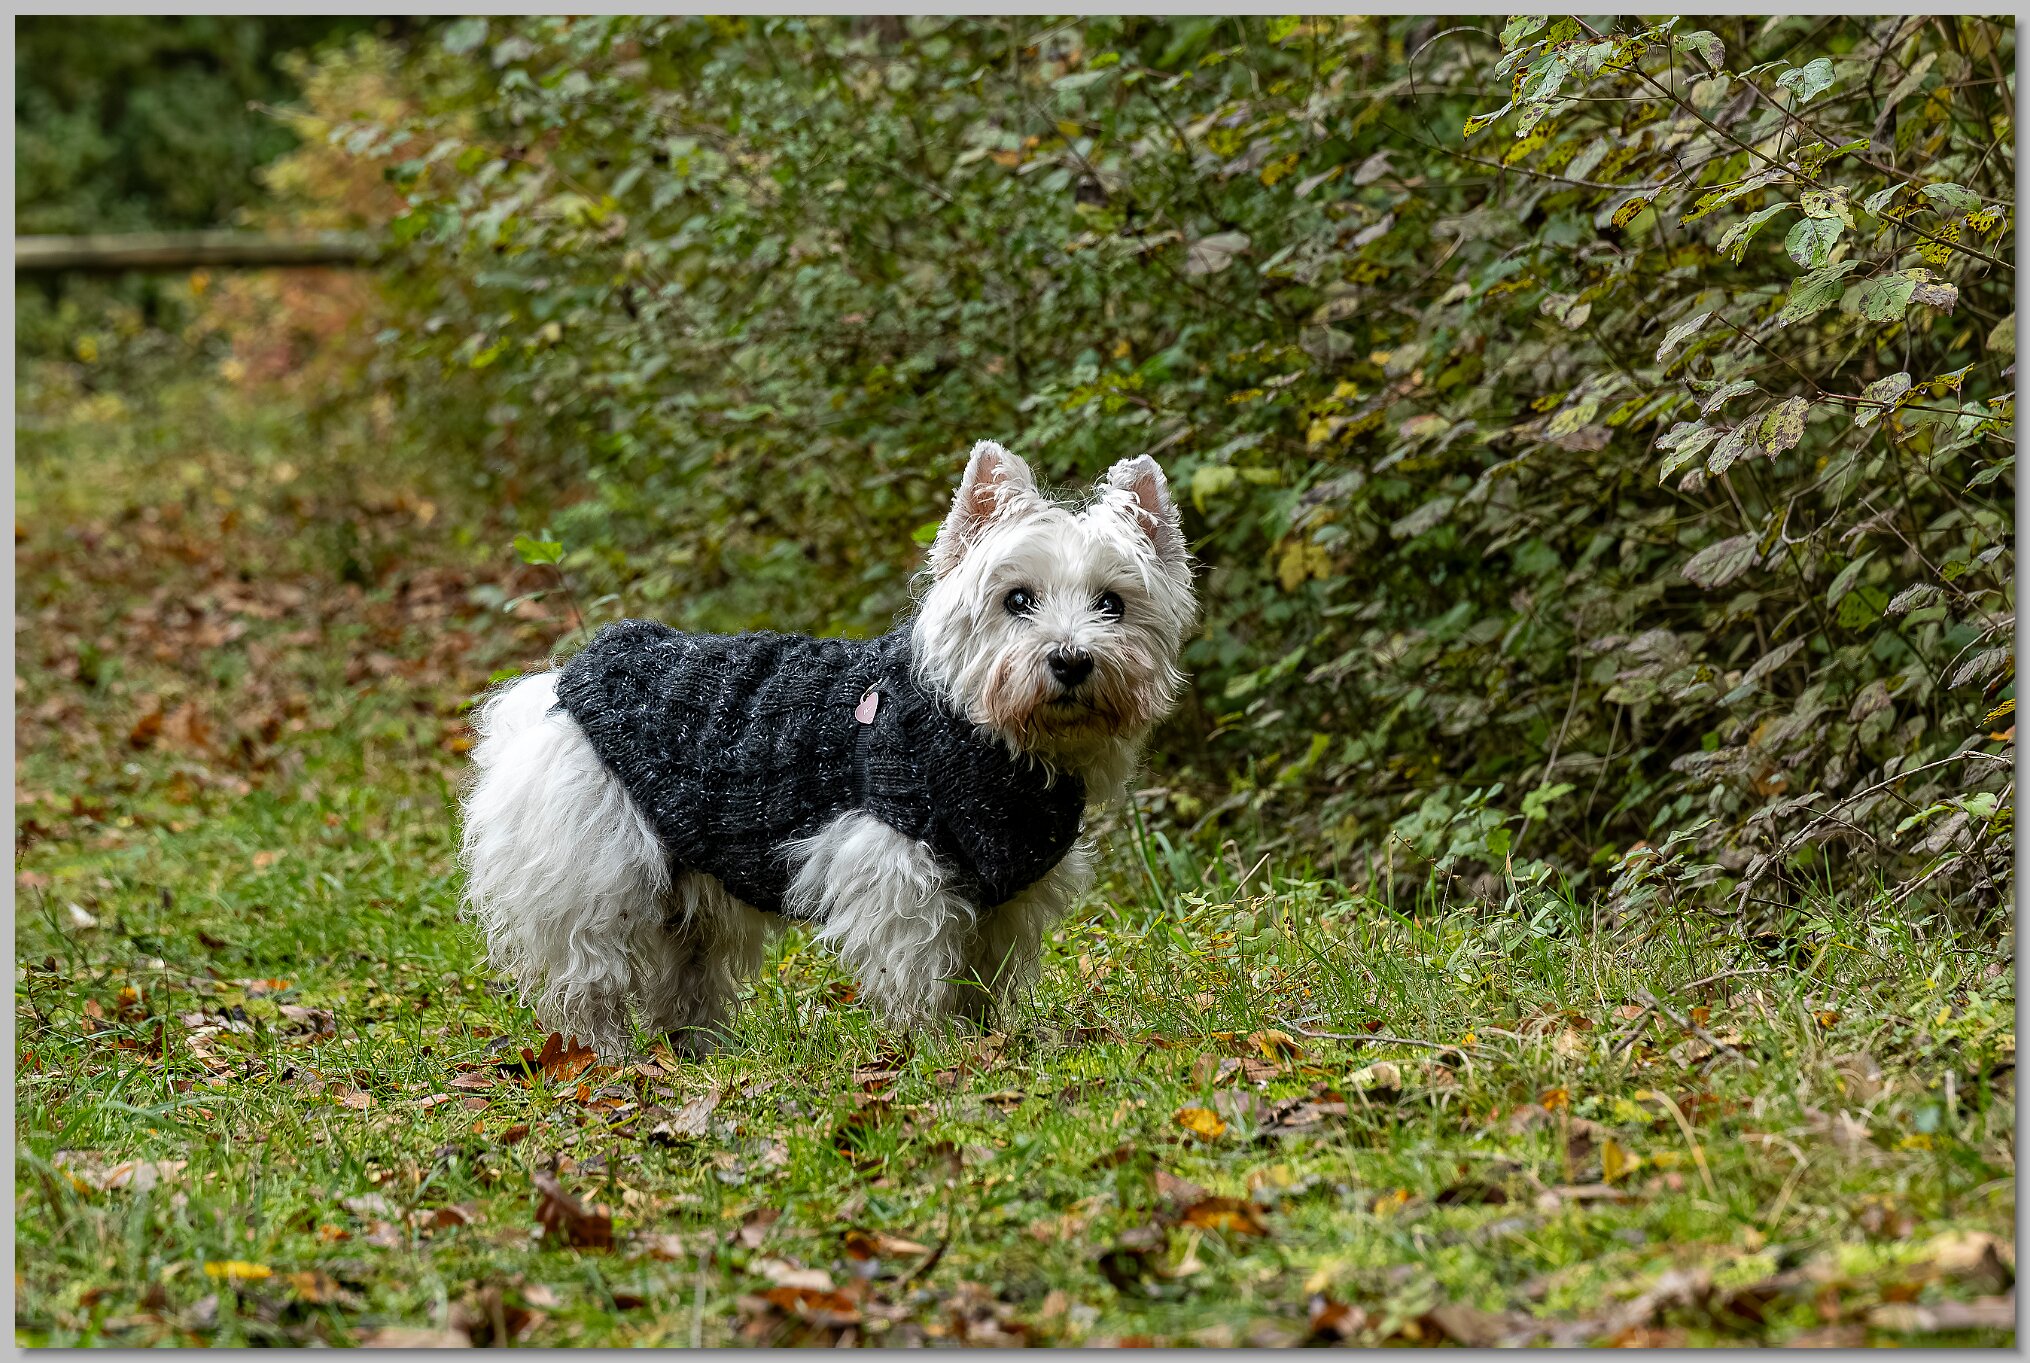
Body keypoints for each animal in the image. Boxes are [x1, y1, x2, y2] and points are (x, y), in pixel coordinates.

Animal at [459, 441, 1195, 1057]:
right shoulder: (896, 870)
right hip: (593, 872)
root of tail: (558, 684)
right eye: (1018, 598)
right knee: (591, 974)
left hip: (684, 888)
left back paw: (695, 1053)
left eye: (1112, 603)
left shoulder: (1005, 895)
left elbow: (978, 976)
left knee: (684, 974)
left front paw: (980, 1040)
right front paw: (935, 1049)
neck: (987, 735)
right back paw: (609, 1059)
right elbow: (919, 967)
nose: (1071, 660)